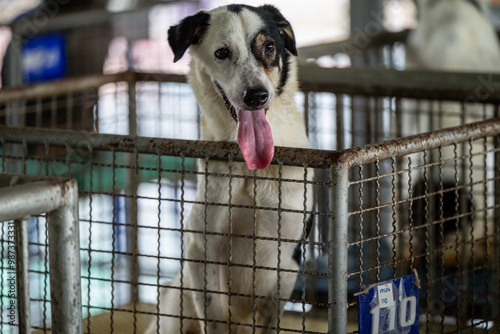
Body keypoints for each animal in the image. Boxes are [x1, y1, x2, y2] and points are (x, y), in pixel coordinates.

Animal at [145, 3, 314, 332]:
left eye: (269, 47)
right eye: (222, 52)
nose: (257, 96)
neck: (251, 170)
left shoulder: (287, 262)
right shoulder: (201, 250)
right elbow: (213, 316)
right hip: (174, 304)